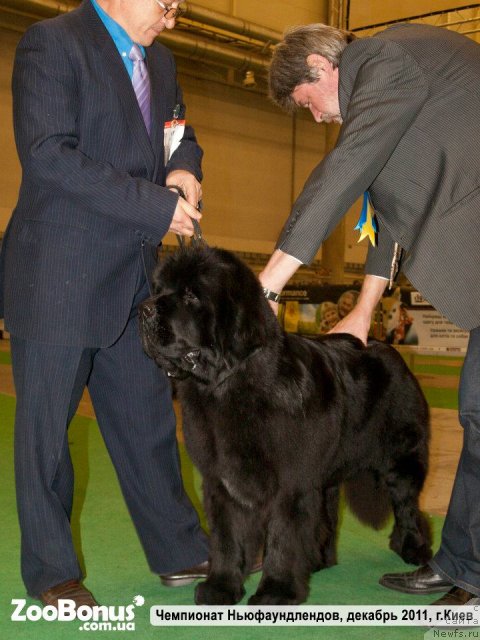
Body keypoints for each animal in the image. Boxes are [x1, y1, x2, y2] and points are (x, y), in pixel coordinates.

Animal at [138, 244, 432, 604]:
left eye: (191, 295)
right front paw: (221, 587)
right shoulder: (221, 481)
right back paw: (319, 561)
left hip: (400, 457)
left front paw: (275, 592)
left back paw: (414, 550)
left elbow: (282, 537)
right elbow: (227, 538)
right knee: (327, 516)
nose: (144, 310)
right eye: (160, 289)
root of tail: (389, 351)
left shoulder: (291, 484)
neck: (229, 385)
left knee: (407, 504)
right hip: (328, 474)